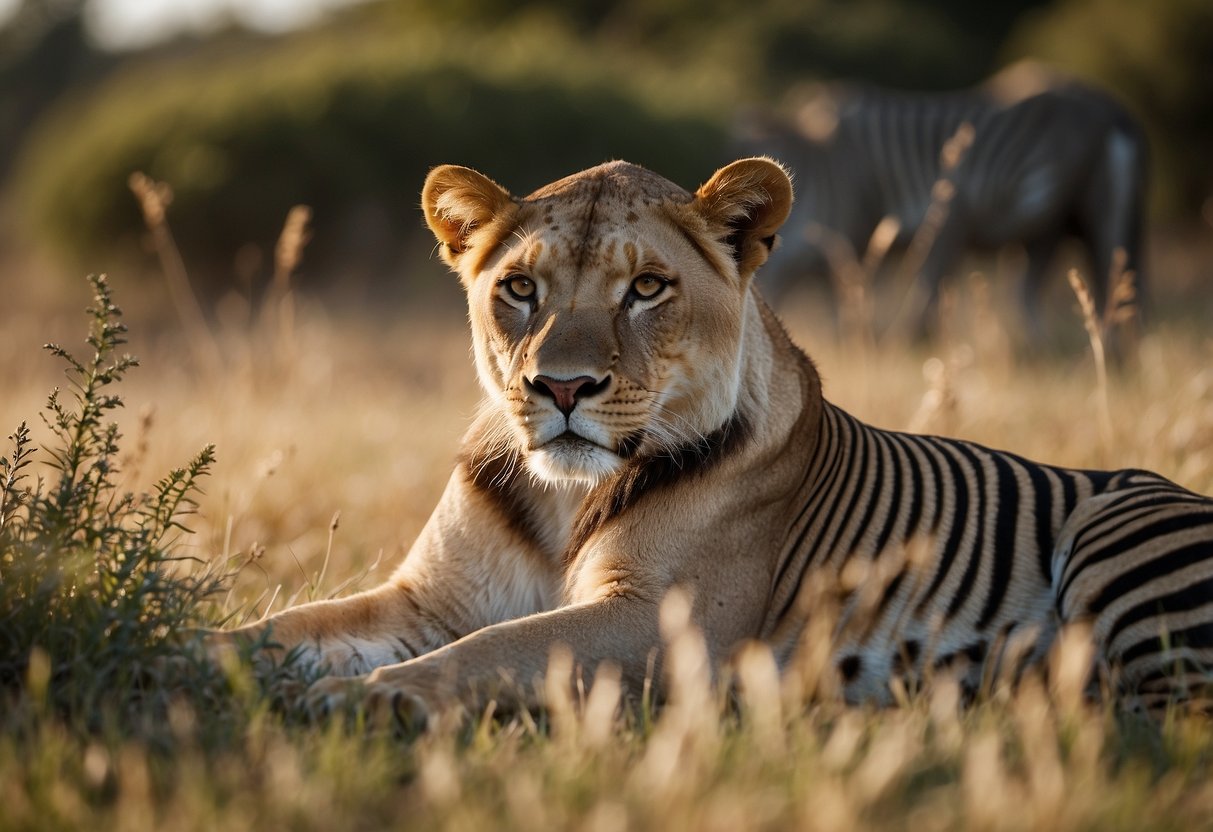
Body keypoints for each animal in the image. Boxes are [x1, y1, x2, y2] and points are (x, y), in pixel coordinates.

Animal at [742, 61, 1149, 342]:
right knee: (1053, 289)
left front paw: (903, 342)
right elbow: (854, 291)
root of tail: (1111, 105)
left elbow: (923, 285)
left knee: (1111, 276)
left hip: (1092, 208)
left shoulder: (947, 216)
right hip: (1058, 223)